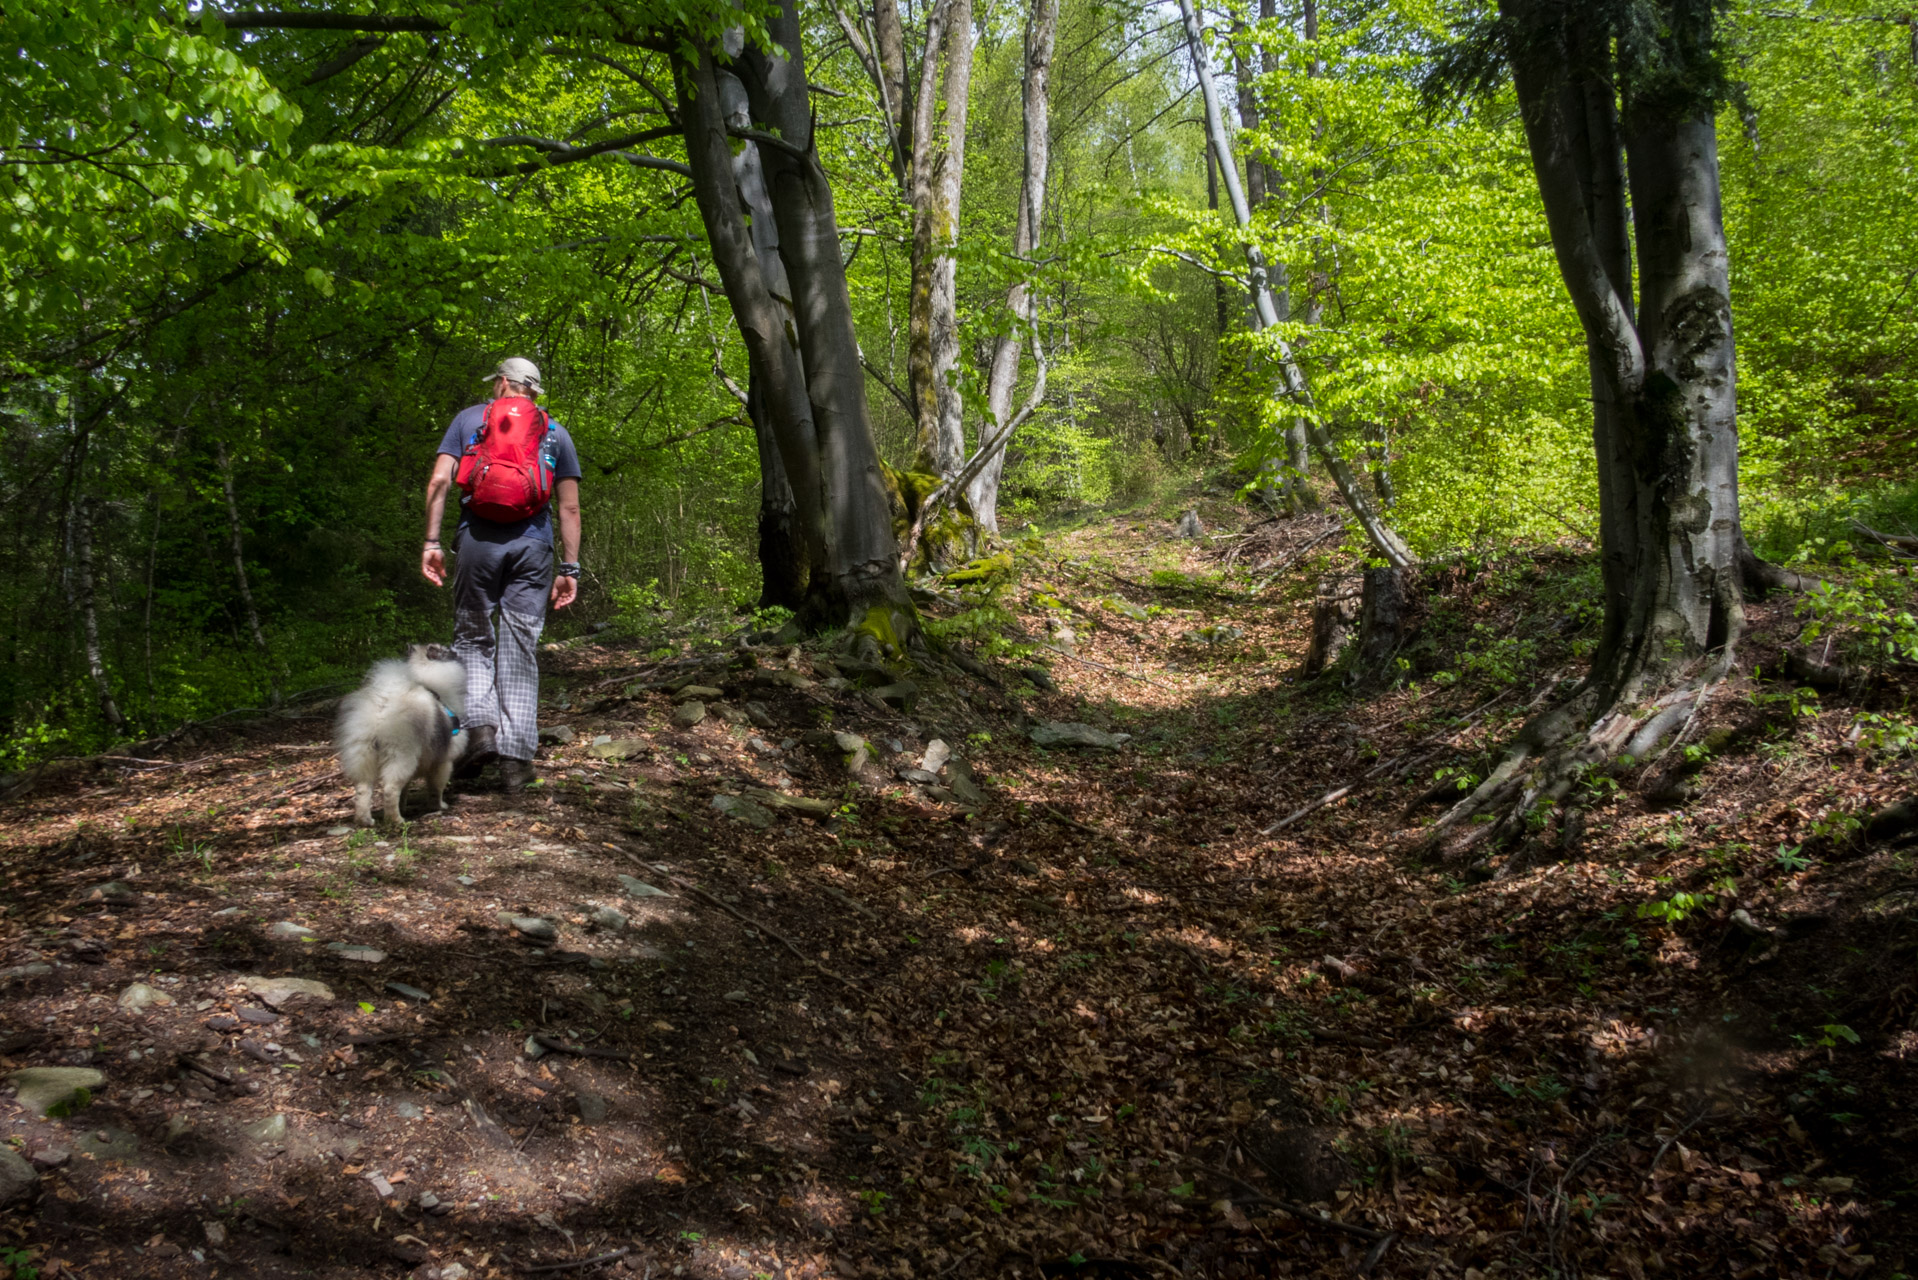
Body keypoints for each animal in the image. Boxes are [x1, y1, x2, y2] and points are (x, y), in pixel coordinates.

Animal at [333, 644, 467, 825]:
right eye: (445, 651)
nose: (457, 652)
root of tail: (381, 707)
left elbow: (405, 791)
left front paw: (404, 806)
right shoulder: (444, 761)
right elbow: (436, 788)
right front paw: (439, 806)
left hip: (363, 753)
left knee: (363, 789)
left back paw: (365, 820)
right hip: (402, 754)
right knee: (390, 789)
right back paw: (395, 820)